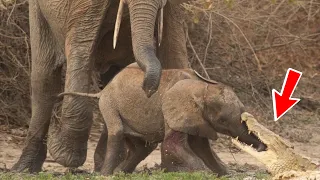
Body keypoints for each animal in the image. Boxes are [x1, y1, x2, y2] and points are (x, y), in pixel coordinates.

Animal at [13, 0, 190, 172]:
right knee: (44, 78)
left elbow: (174, 53)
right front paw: (65, 154)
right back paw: (23, 169)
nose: (148, 90)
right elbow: (81, 50)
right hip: (37, 10)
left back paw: (104, 166)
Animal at [58, 63, 266, 176]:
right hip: (109, 104)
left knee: (143, 146)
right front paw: (202, 173)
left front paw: (224, 174)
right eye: (222, 120)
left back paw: (120, 172)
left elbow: (201, 146)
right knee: (117, 133)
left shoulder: (196, 117)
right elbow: (173, 144)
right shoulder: (174, 110)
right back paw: (107, 175)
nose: (263, 147)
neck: (201, 87)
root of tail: (103, 89)